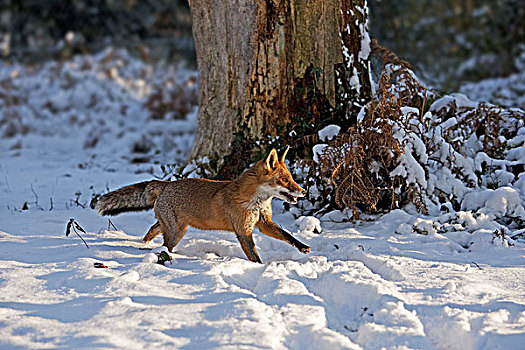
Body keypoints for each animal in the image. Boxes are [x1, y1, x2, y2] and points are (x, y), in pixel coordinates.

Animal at [94, 148, 310, 262]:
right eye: (284, 180)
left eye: (291, 178)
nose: (304, 192)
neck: (256, 203)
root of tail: (166, 184)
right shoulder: (244, 231)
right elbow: (254, 255)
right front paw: (260, 267)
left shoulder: (264, 223)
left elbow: (287, 235)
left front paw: (302, 247)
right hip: (176, 231)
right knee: (164, 245)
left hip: (173, 226)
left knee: (153, 229)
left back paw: (143, 244)